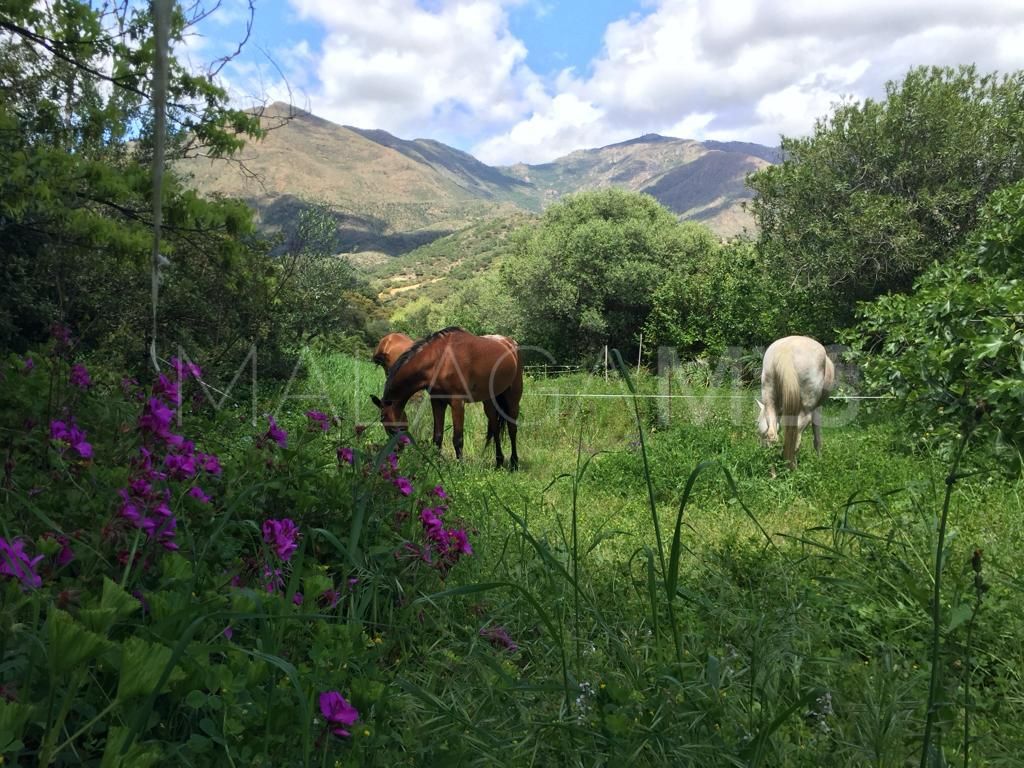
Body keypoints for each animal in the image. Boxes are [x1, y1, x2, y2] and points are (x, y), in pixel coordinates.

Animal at [372, 325, 524, 468]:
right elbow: (437, 436)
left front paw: (460, 468)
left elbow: (458, 439)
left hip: (513, 397)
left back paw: (514, 463)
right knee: (495, 426)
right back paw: (499, 462)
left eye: (392, 429)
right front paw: (435, 464)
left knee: (512, 428)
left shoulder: (457, 403)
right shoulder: (437, 401)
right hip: (489, 400)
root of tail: (510, 343)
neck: (441, 359)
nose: (397, 452)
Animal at [757, 335, 835, 468]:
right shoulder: (817, 408)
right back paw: (793, 469)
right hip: (805, 411)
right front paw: (819, 459)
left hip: (769, 395)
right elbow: (817, 437)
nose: (763, 447)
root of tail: (786, 349)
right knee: (795, 441)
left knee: (773, 436)